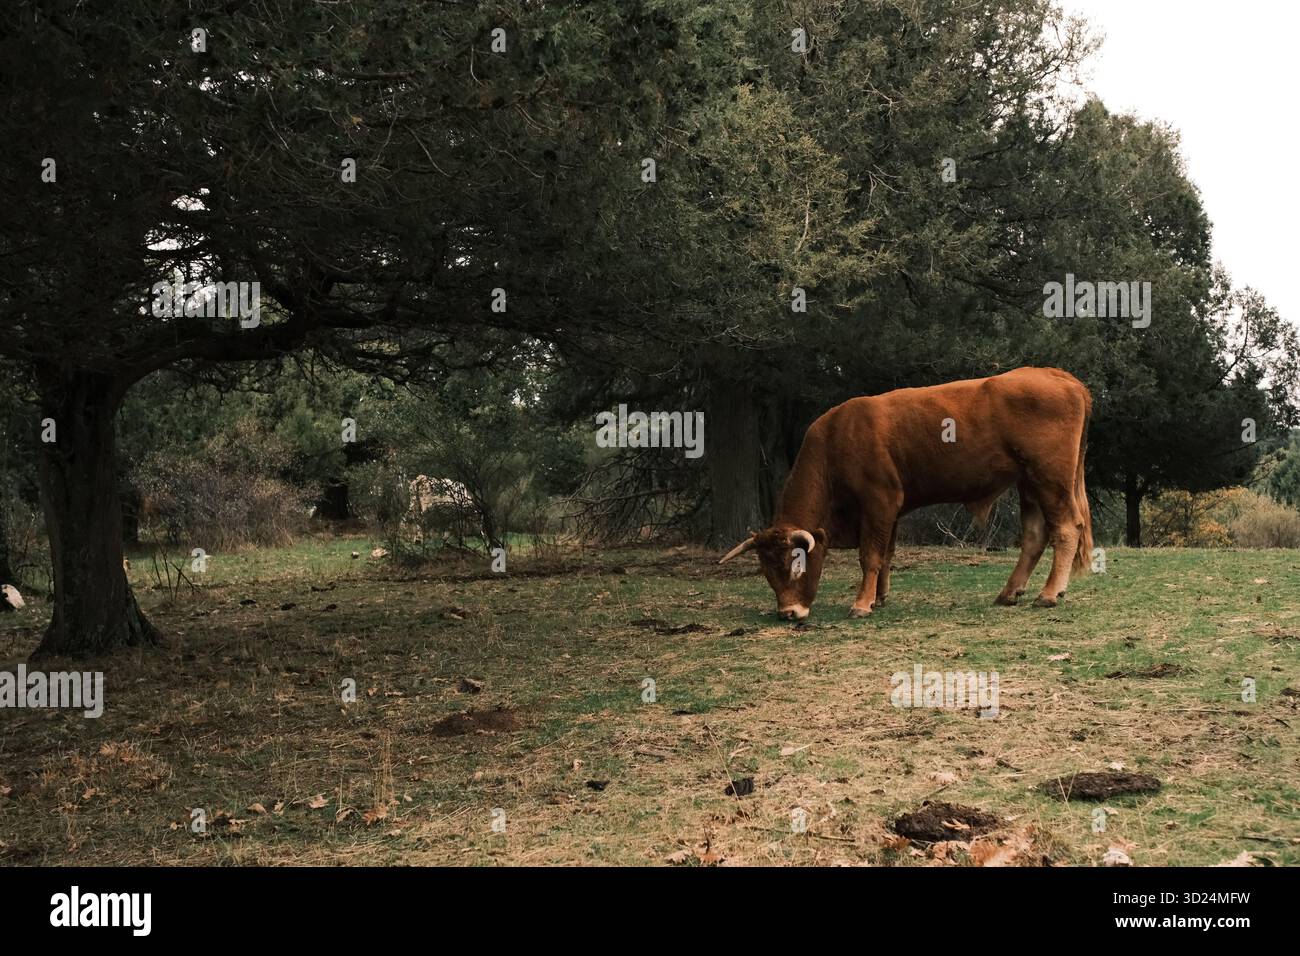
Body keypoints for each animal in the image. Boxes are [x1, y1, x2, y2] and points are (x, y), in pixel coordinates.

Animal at [719, 367, 1093, 620]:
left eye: (796, 564)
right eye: (766, 570)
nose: (789, 613)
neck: (837, 438)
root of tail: (1056, 375)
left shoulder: (879, 501)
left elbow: (870, 555)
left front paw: (861, 603)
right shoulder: (891, 510)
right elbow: (886, 553)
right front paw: (879, 596)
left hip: (1050, 479)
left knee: (1065, 528)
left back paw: (1048, 593)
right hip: (1028, 483)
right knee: (1034, 536)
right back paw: (1009, 592)